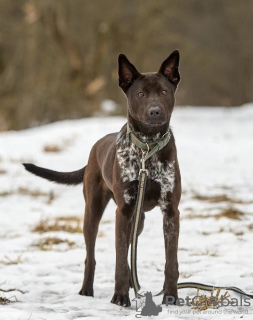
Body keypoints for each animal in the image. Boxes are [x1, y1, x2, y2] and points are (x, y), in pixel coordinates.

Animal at [23, 50, 181, 308]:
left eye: (164, 92)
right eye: (141, 94)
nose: (155, 111)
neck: (148, 148)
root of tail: (96, 147)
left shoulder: (170, 212)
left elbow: (171, 261)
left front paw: (171, 296)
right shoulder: (123, 212)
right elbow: (119, 260)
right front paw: (119, 297)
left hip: (138, 220)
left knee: (130, 248)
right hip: (93, 213)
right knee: (92, 256)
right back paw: (88, 289)